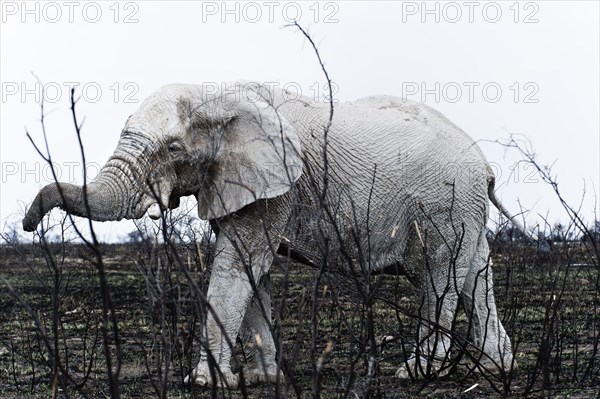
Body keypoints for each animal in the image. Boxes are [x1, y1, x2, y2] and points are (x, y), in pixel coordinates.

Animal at [23, 82, 516, 388]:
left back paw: (417, 373)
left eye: (173, 148)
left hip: (445, 205)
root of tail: (485, 165)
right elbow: (249, 273)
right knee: (476, 276)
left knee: (440, 278)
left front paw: (206, 384)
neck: (217, 93)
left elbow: (236, 265)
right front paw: (265, 380)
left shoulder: (277, 184)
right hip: (466, 209)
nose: (28, 223)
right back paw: (498, 366)